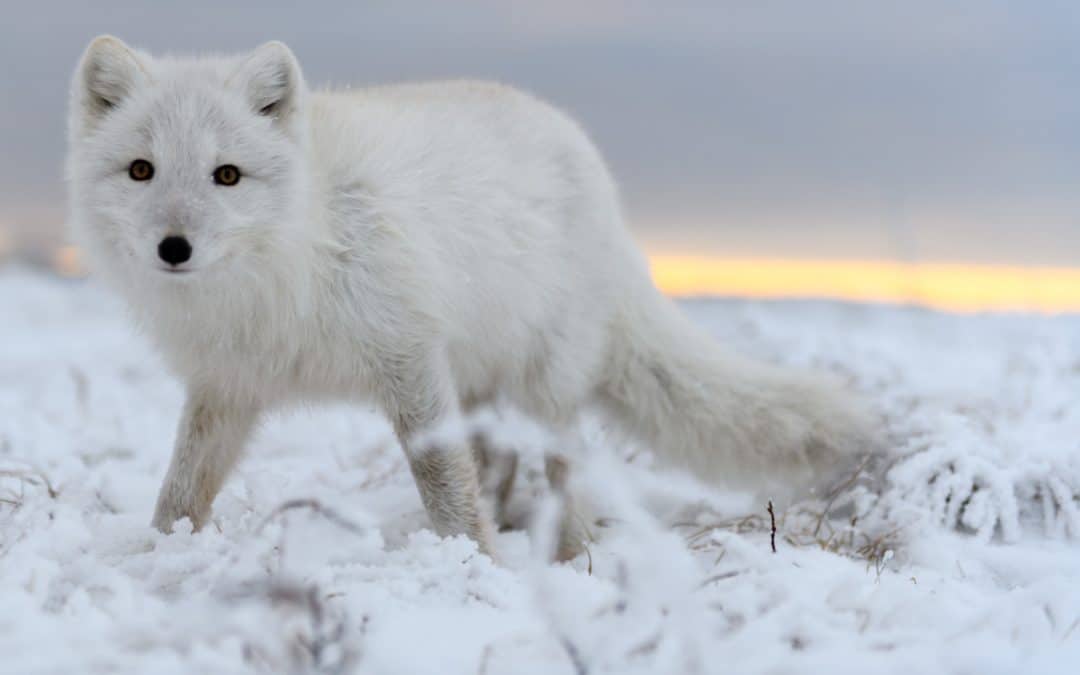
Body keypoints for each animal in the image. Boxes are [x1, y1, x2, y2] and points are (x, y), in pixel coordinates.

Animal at [67, 34, 872, 557]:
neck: (291, 256)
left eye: (227, 175)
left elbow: (441, 478)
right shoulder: (228, 383)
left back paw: (570, 552)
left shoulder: (409, 355)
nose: (174, 248)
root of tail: (592, 164)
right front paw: (159, 551)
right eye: (141, 170)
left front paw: (473, 561)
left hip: (544, 379)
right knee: (499, 459)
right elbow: (181, 487)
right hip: (479, 375)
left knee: (560, 464)